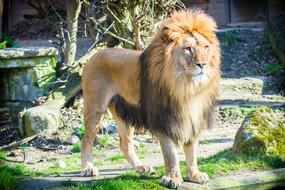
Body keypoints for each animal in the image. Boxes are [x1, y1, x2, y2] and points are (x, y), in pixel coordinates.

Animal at [80, 8, 220, 189]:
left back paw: (141, 167)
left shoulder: (193, 116)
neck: (186, 87)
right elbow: (171, 154)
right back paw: (87, 168)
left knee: (125, 144)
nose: (202, 64)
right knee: (86, 139)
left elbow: (192, 150)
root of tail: (94, 55)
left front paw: (194, 175)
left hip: (123, 113)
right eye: (188, 49)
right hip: (95, 108)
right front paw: (172, 178)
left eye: (206, 47)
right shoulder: (163, 119)